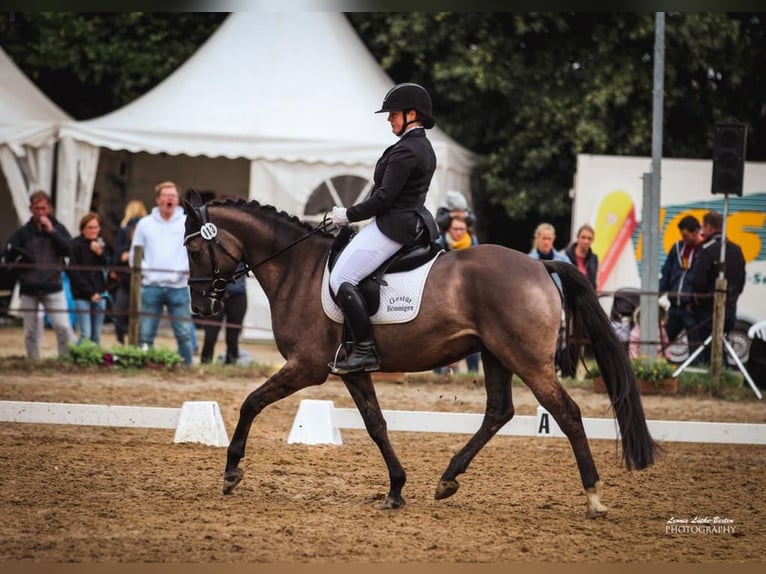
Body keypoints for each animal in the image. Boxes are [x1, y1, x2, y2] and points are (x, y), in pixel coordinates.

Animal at [183, 200, 656, 520]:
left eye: (193, 251)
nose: (201, 308)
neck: (297, 267)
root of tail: (541, 266)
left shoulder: (307, 367)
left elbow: (251, 403)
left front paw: (231, 472)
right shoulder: (350, 370)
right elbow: (376, 424)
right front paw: (396, 488)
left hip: (526, 359)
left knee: (566, 412)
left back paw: (594, 496)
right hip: (495, 354)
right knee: (499, 411)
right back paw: (448, 479)